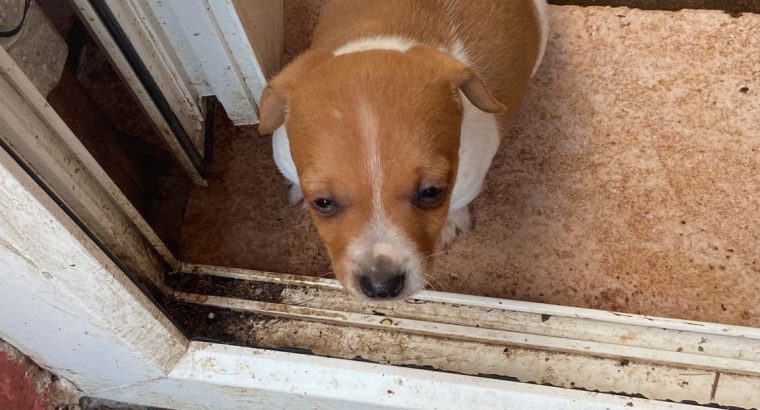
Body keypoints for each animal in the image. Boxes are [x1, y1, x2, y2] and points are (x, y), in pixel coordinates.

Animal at [256, 0, 548, 302]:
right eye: (322, 202)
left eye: (432, 192)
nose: (381, 286)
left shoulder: (469, 179)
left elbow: (457, 202)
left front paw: (449, 222)